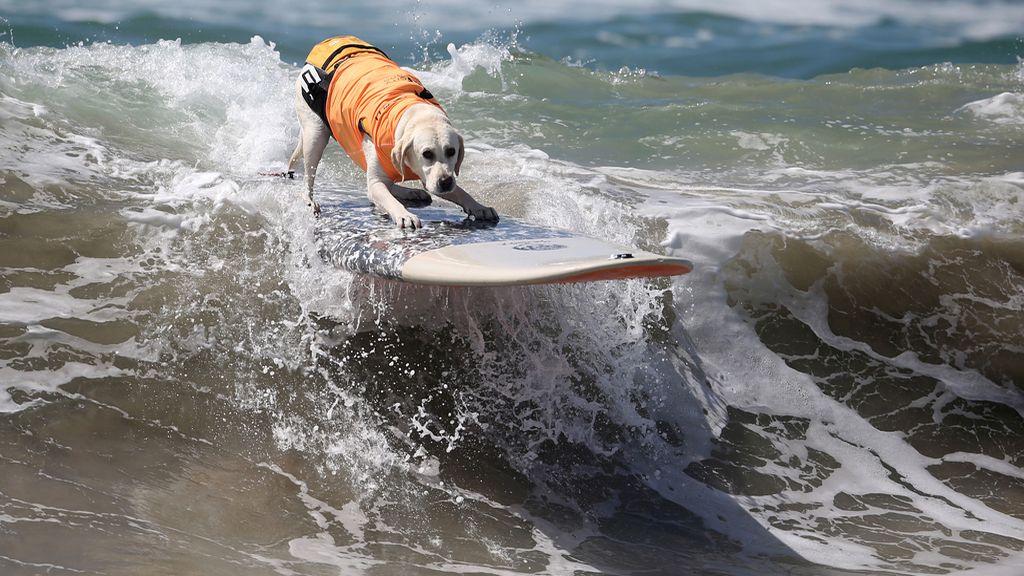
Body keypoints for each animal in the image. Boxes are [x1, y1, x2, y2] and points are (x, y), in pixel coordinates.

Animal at [286, 34, 497, 228]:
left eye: (451, 151)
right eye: (427, 153)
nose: (445, 182)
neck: (412, 113)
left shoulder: (430, 176)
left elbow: (461, 192)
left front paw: (478, 207)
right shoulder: (381, 179)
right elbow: (385, 197)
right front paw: (404, 214)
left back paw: (408, 191)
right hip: (315, 134)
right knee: (309, 177)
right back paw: (310, 200)